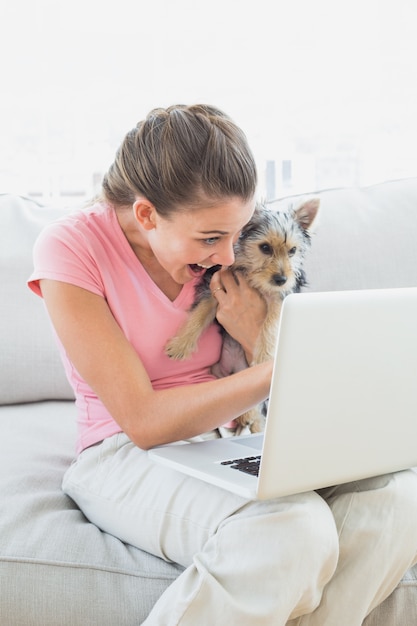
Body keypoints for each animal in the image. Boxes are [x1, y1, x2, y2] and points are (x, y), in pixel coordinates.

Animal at [164, 197, 316, 432]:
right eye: (265, 247)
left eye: (292, 251)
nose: (281, 279)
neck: (251, 274)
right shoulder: (214, 285)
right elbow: (200, 312)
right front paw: (181, 345)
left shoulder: (280, 296)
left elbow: (271, 323)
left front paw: (264, 356)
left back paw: (250, 417)